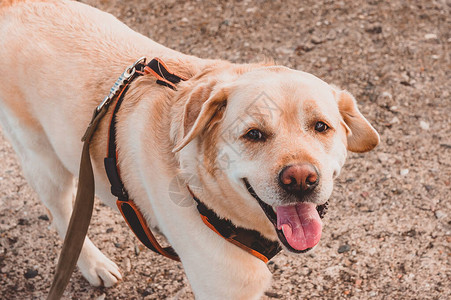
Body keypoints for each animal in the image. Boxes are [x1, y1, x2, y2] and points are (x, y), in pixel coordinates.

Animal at [0, 0, 380, 298]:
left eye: (321, 127)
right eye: (254, 134)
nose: (301, 179)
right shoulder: (223, 287)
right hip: (44, 160)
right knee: (62, 213)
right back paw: (95, 264)